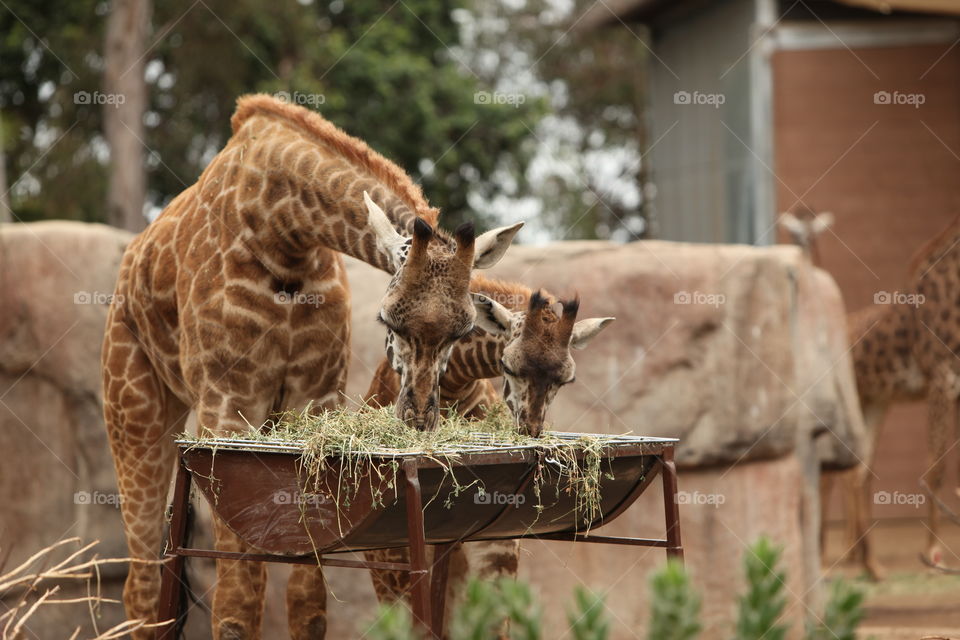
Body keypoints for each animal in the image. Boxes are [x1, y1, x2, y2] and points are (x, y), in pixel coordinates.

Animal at [100, 94, 523, 640]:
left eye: (462, 328)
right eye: (388, 319)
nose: (418, 418)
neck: (282, 232)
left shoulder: (313, 400)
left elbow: (307, 598)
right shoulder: (226, 401)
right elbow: (236, 603)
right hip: (134, 406)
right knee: (143, 583)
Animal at [357, 276, 614, 628]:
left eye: (567, 379)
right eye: (507, 365)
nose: (529, 430)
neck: (455, 384)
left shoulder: (495, 548)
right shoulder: (392, 557)